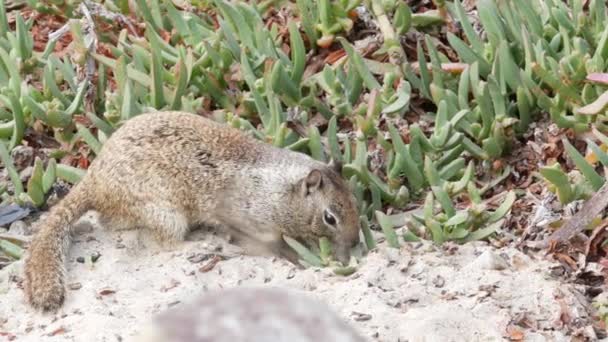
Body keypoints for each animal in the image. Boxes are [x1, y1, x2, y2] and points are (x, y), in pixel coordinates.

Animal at [23, 111, 360, 312]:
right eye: (330, 218)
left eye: (355, 204)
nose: (356, 241)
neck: (280, 192)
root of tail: (94, 180)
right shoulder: (251, 222)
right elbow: (271, 245)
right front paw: (296, 259)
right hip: (166, 213)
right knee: (164, 243)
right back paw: (204, 244)